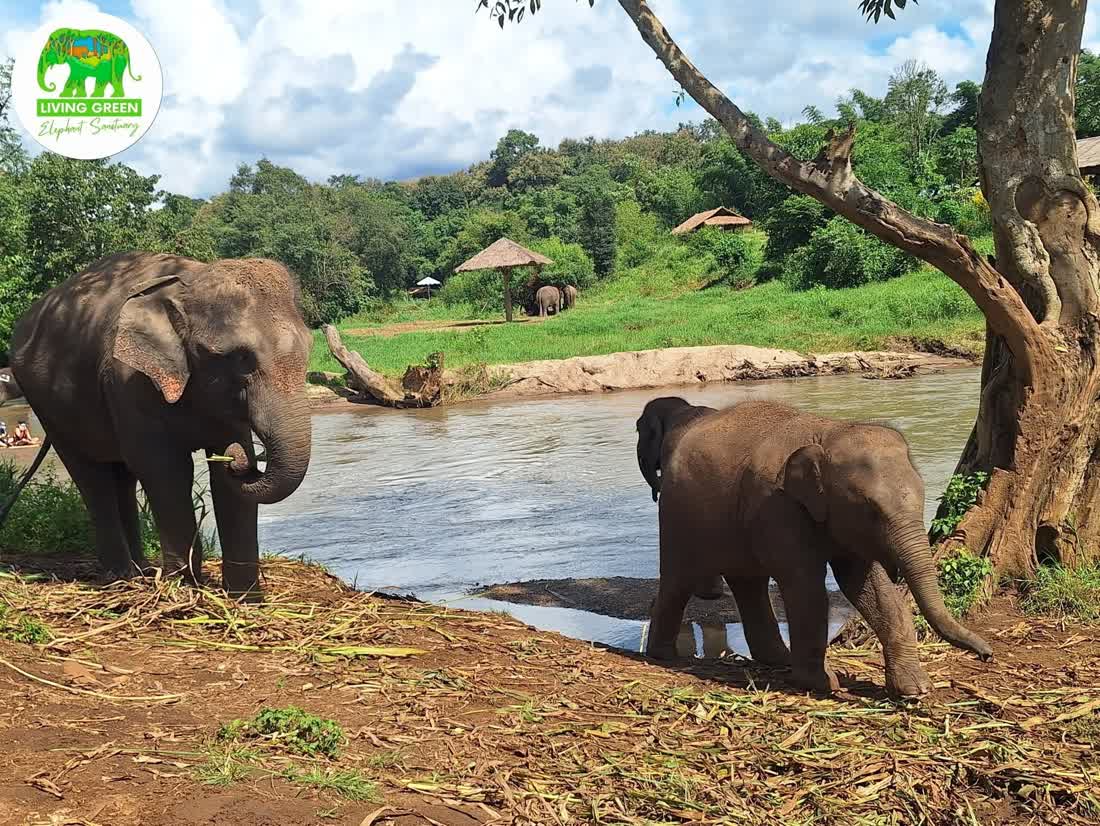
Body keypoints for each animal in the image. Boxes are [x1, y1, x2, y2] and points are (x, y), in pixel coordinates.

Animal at [7, 252, 313, 597]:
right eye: (239, 357)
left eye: (309, 348)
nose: (239, 459)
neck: (188, 284)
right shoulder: (129, 381)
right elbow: (165, 469)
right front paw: (184, 590)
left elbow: (223, 480)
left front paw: (245, 600)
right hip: (48, 406)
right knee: (91, 476)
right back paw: (120, 578)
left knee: (122, 475)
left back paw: (140, 572)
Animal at [645, 399, 993, 698]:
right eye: (871, 509)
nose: (987, 654)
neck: (829, 432)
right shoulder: (775, 504)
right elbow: (806, 586)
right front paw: (824, 684)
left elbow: (869, 586)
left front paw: (915, 690)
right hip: (677, 511)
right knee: (680, 578)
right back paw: (663, 656)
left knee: (749, 583)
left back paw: (777, 659)